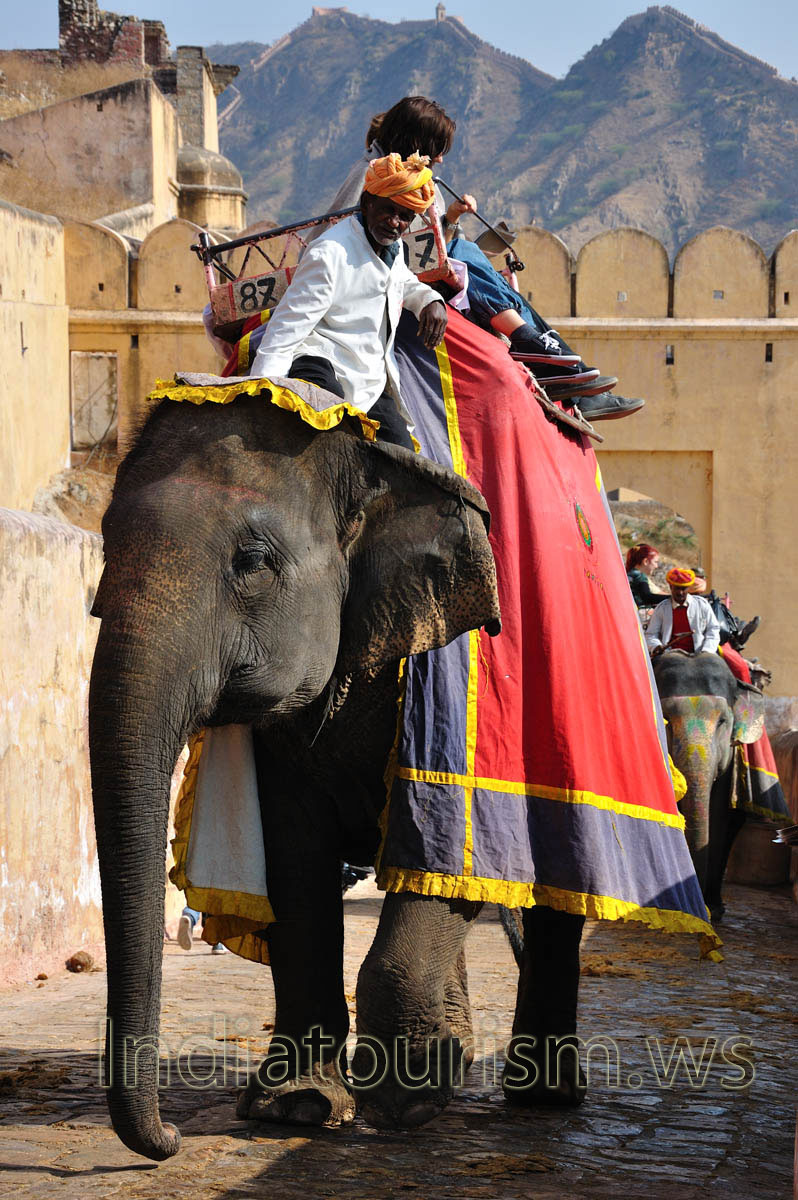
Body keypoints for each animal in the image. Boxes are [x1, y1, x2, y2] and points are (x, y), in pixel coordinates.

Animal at [89, 392, 585, 1163]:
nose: (170, 1136)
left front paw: (405, 1104)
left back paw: (540, 1093)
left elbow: (446, 855)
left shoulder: (462, 688)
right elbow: (294, 865)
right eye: (107, 545)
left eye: (253, 561)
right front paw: (298, 1108)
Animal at [652, 649, 765, 922]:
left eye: (723, 721)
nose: (700, 909)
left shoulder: (728, 760)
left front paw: (711, 911)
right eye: (665, 718)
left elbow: (718, 816)